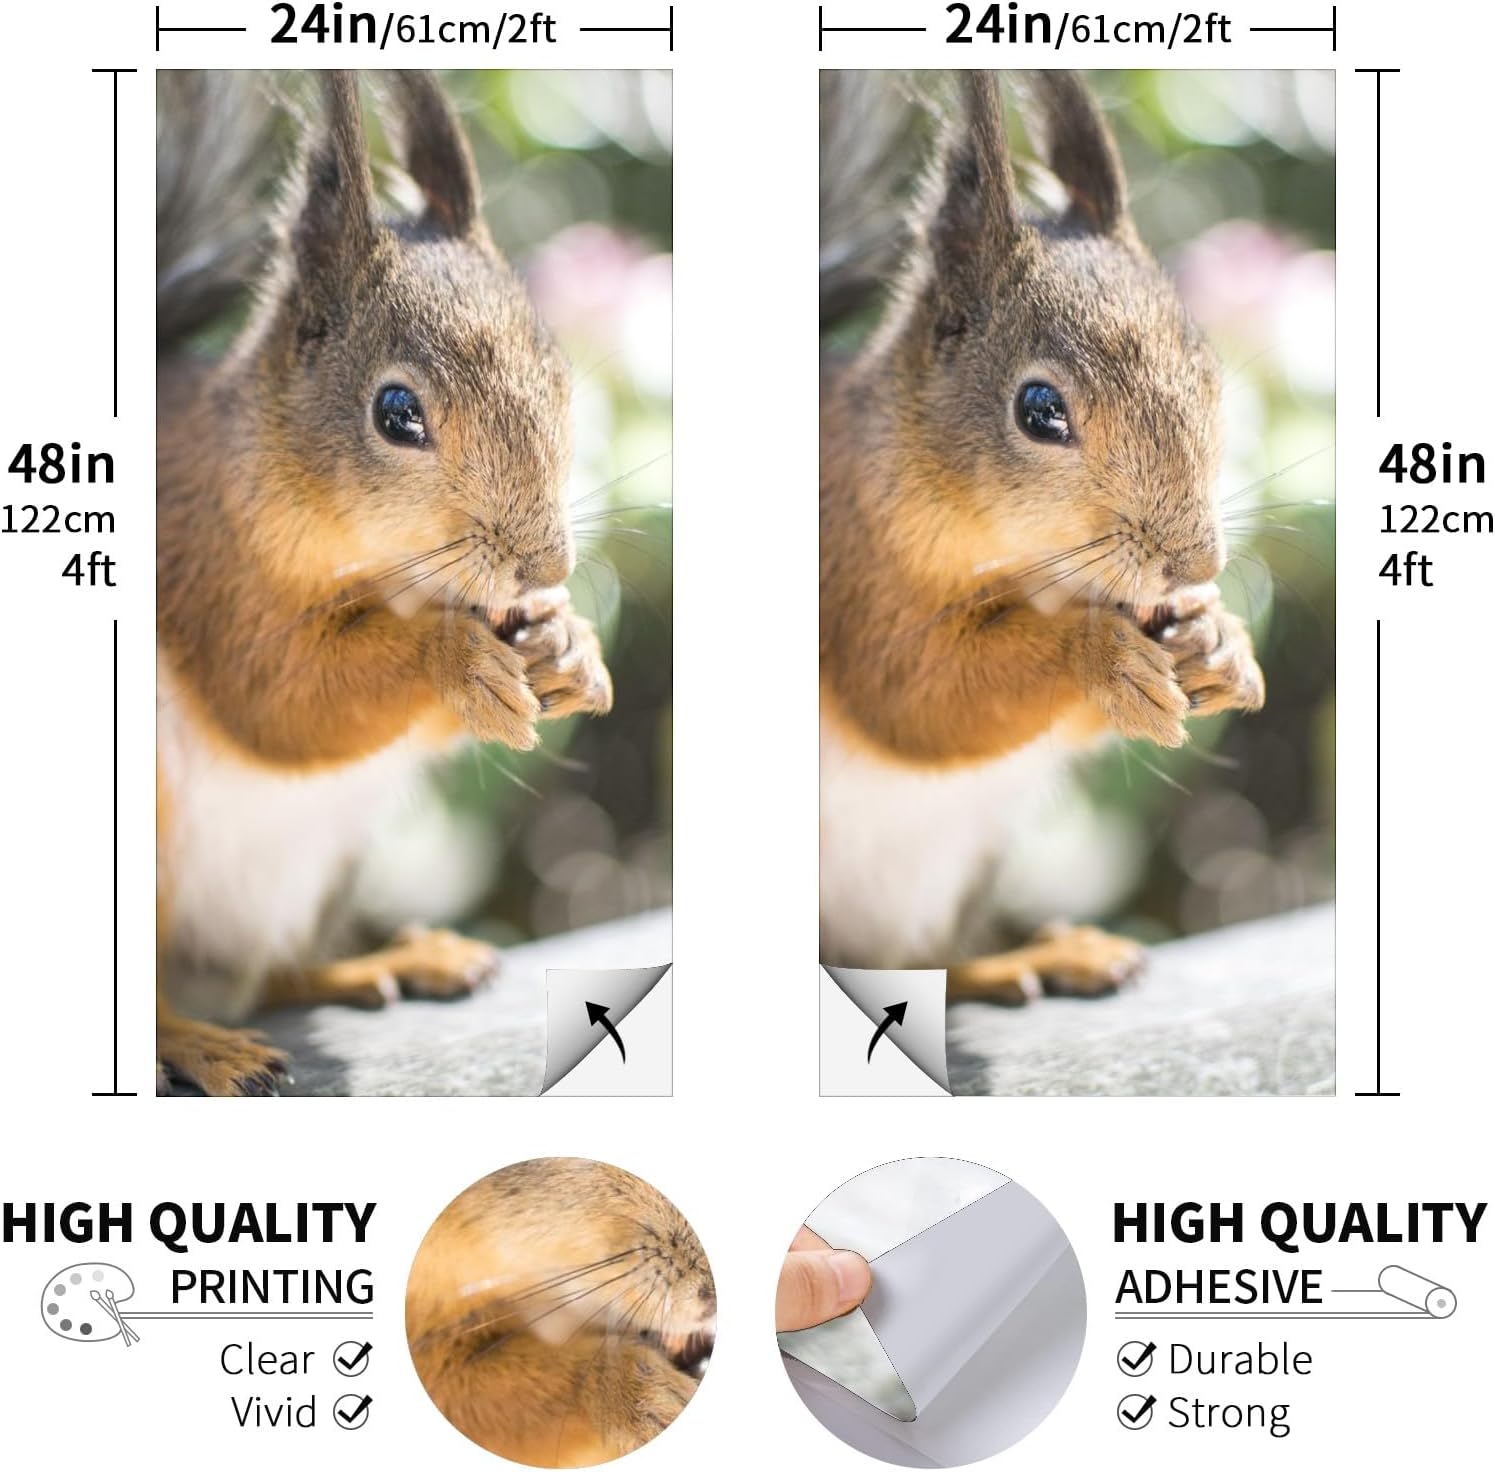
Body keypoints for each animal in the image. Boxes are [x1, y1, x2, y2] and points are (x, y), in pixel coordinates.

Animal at [156, 71, 612, 1094]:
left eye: (559, 374)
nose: (546, 568)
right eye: (396, 412)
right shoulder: (207, 571)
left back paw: (387, 961)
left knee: (274, 974)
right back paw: (204, 1044)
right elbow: (279, 699)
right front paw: (454, 659)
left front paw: (573, 647)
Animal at [819, 71, 1265, 998]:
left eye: (1206, 370)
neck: (1040, 569)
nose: (1195, 563)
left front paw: (1221, 642)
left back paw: (1029, 956)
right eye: (1038, 410)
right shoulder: (850, 567)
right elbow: (913, 697)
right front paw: (1097, 654)